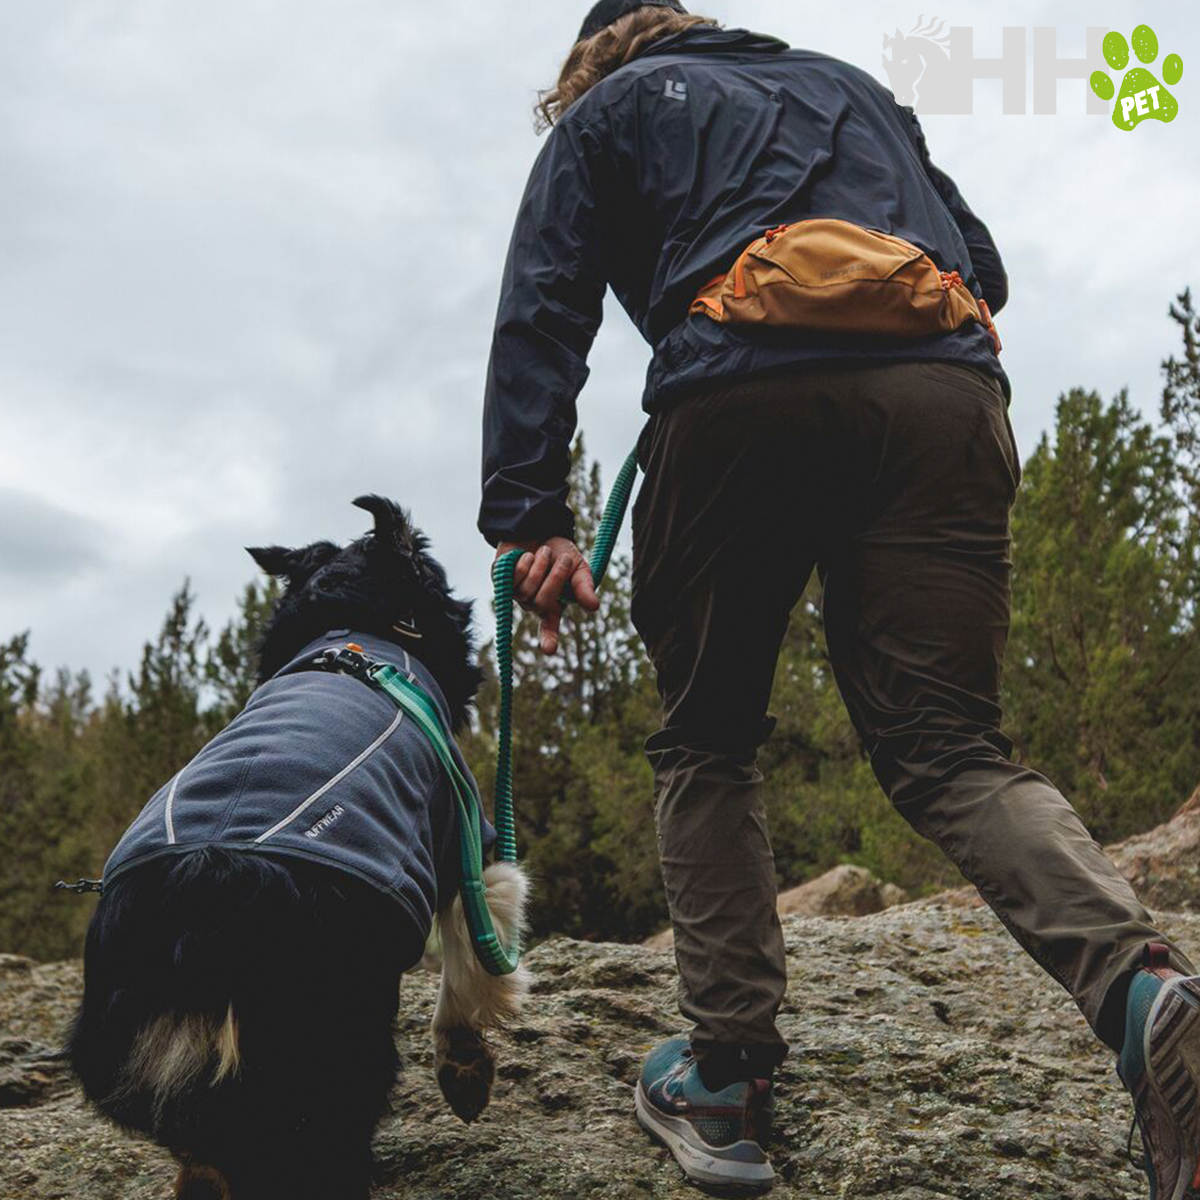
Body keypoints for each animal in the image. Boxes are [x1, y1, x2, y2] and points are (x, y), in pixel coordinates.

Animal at [67, 496, 529, 1200]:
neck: (359, 630)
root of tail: (210, 881)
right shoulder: (464, 837)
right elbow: (468, 960)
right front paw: (466, 1068)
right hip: (335, 1044)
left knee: (210, 1155)